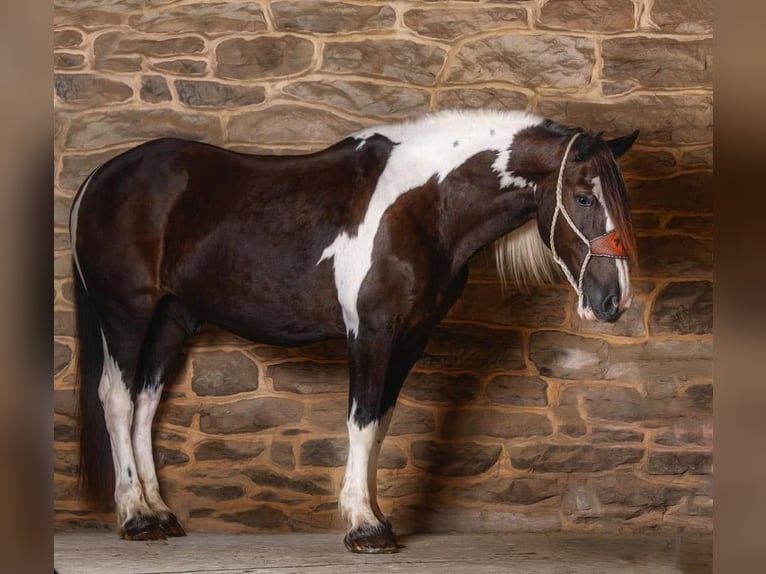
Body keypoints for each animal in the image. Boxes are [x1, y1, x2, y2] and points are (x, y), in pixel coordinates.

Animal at [69, 108, 640, 552]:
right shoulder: (371, 332)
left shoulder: (410, 338)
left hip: (171, 318)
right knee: (117, 399)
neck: (422, 204)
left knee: (146, 403)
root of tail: (101, 176)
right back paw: (135, 516)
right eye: (584, 198)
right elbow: (361, 420)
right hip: (126, 314)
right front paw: (364, 525)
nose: (615, 301)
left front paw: (377, 516)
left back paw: (160, 513)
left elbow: (380, 424)